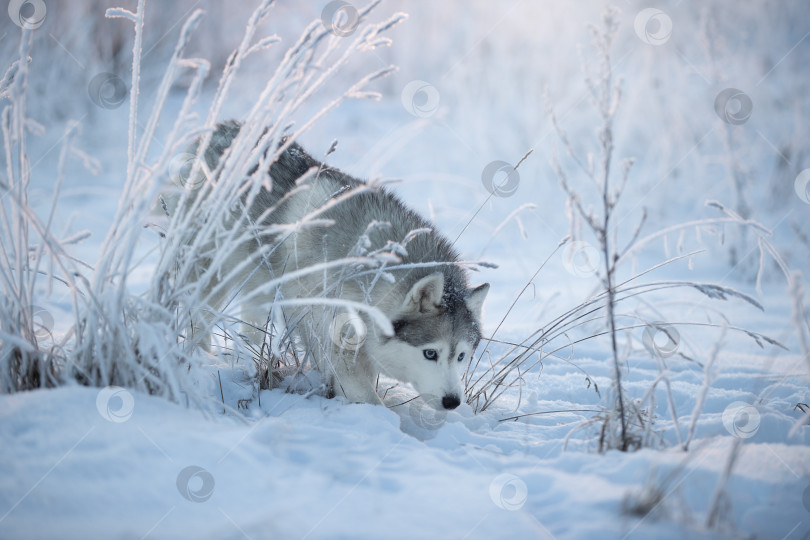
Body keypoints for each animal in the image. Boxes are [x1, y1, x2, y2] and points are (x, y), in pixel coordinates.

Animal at [181, 122, 490, 410]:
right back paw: (199, 357)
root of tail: (226, 126)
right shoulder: (332, 340)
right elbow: (369, 401)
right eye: (430, 353)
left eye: (461, 356)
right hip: (210, 271)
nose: (453, 402)